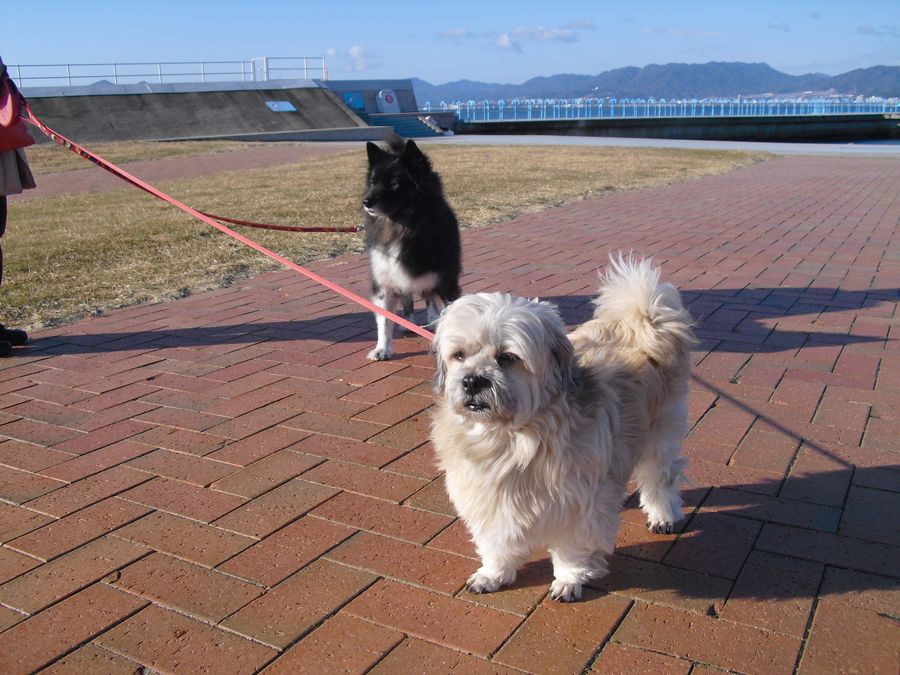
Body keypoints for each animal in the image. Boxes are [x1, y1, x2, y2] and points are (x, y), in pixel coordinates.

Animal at [362, 136, 462, 361]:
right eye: (372, 182)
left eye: (394, 184)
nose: (366, 201)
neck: (403, 226)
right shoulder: (384, 281)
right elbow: (384, 321)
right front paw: (382, 349)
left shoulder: (445, 280)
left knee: (431, 299)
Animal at [431, 255, 696, 602]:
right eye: (459, 355)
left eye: (507, 358)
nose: (473, 380)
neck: (510, 439)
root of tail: (642, 321)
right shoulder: (488, 497)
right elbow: (496, 542)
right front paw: (494, 574)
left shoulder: (576, 504)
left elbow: (572, 547)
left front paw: (570, 578)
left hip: (659, 432)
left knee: (661, 476)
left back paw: (663, 515)